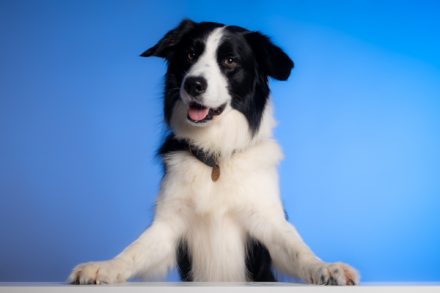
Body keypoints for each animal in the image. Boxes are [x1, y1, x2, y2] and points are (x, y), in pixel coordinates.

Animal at [68, 19, 358, 284]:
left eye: (230, 60)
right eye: (189, 54)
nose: (193, 84)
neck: (215, 155)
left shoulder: (267, 223)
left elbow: (298, 250)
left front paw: (327, 268)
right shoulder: (169, 225)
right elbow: (134, 250)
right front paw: (103, 267)